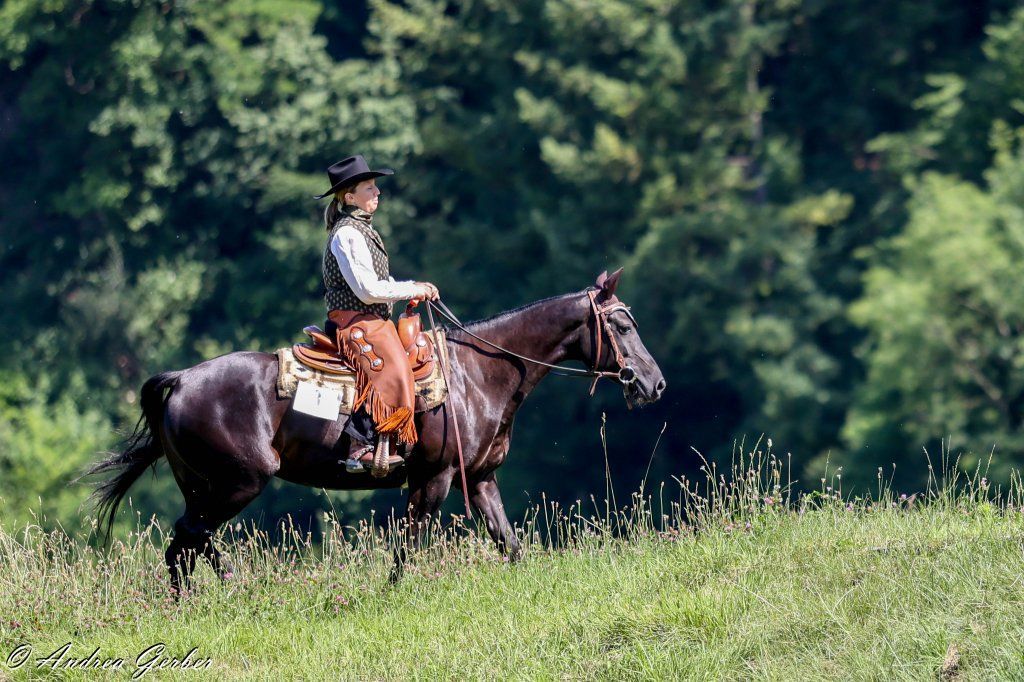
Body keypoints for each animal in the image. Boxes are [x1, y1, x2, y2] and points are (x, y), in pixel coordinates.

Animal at [87, 268, 666, 592]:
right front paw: (393, 594)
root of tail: (182, 380)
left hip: (204, 486)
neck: (478, 374)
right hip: (238, 483)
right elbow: (408, 547)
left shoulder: (479, 479)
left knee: (188, 541)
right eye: (621, 325)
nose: (654, 382)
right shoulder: (432, 479)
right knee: (188, 538)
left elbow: (509, 543)